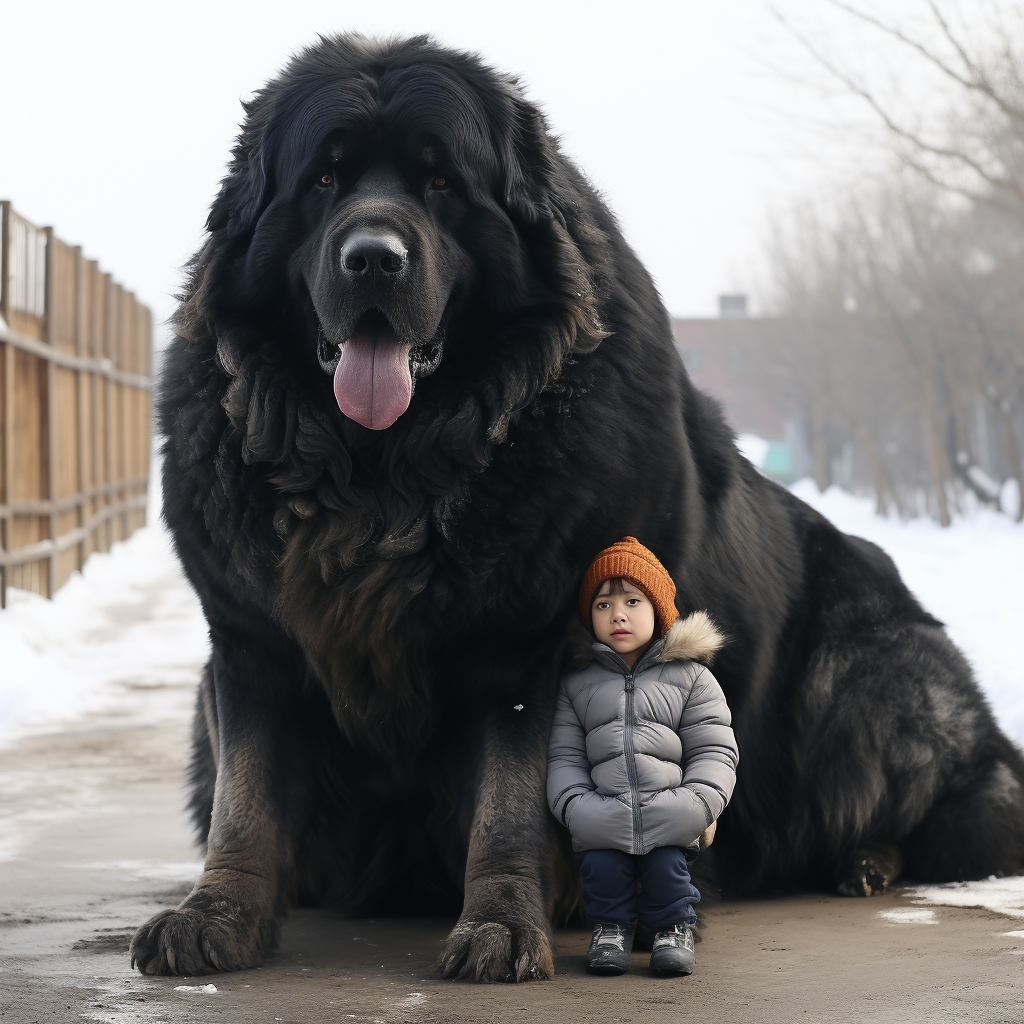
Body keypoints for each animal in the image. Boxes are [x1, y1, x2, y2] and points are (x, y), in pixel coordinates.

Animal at [128, 36, 1024, 983]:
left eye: (440, 182)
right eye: (326, 179)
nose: (373, 258)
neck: (386, 475)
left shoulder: (526, 645)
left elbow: (512, 799)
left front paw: (499, 925)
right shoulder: (251, 640)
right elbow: (248, 794)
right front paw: (217, 913)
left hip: (856, 678)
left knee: (938, 815)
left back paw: (864, 862)